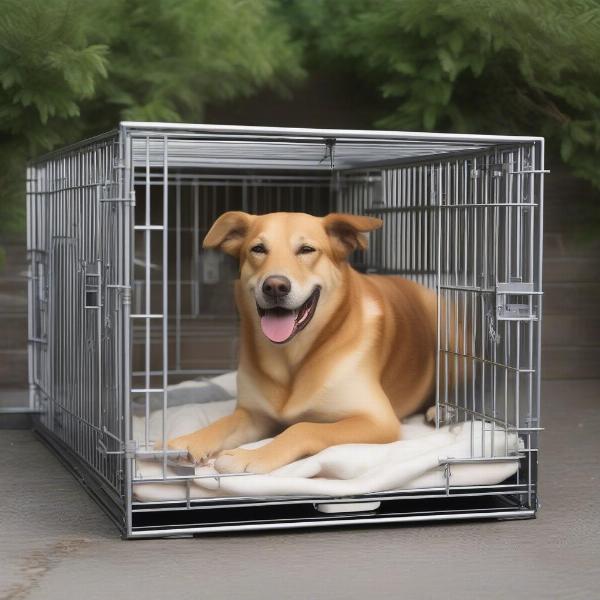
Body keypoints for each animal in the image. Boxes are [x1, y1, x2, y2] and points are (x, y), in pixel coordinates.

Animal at [164, 211, 440, 474]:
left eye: (306, 250)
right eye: (258, 249)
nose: (275, 286)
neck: (291, 356)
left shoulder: (377, 421)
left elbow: (303, 428)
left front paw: (252, 456)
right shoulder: (254, 416)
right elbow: (225, 422)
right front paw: (190, 440)